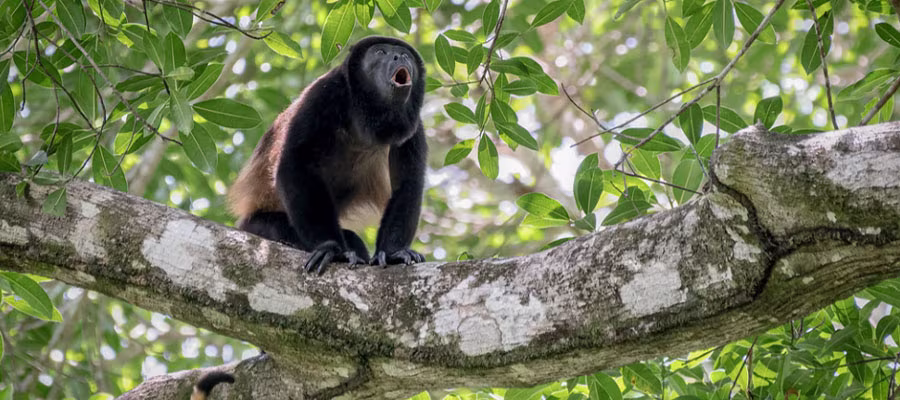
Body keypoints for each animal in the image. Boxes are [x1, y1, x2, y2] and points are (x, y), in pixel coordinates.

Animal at [227, 36, 427, 274]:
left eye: (404, 54)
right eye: (380, 52)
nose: (399, 57)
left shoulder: (414, 127)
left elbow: (406, 183)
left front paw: (394, 253)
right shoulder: (324, 93)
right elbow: (295, 162)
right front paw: (331, 248)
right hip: (258, 225)